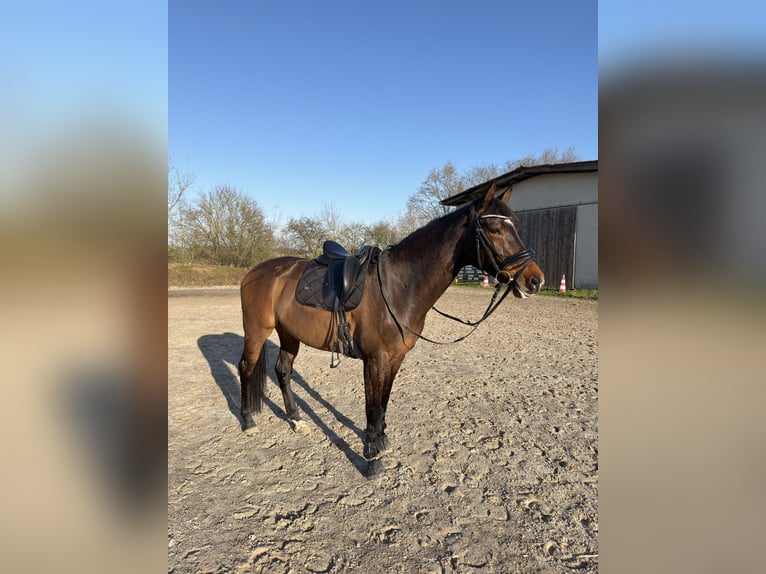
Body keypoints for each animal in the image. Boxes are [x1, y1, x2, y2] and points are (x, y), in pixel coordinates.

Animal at [238, 183, 544, 477]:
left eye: (516, 225)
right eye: (495, 229)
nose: (535, 280)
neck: (399, 286)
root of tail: (255, 272)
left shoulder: (395, 358)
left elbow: (383, 401)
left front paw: (381, 441)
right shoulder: (375, 360)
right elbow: (372, 407)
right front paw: (371, 459)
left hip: (289, 334)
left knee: (283, 370)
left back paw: (296, 420)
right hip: (257, 331)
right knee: (246, 368)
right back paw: (248, 421)